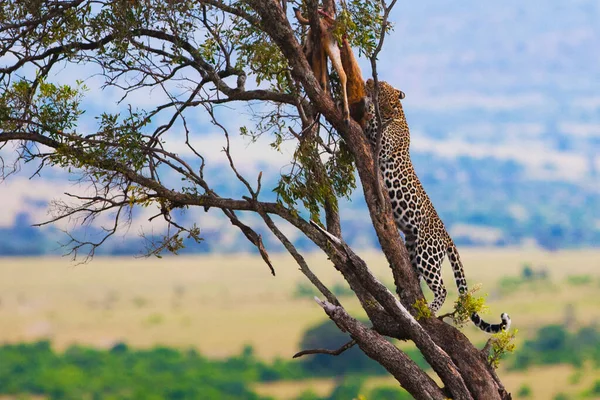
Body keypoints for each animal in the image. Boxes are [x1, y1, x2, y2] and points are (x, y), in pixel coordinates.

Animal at [364, 78, 508, 334]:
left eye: (381, 85)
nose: (369, 80)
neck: (397, 113)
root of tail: (446, 235)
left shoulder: (382, 144)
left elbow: (372, 125)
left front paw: (366, 105)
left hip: (427, 253)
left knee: (442, 287)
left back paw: (430, 309)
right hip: (413, 246)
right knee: (414, 277)